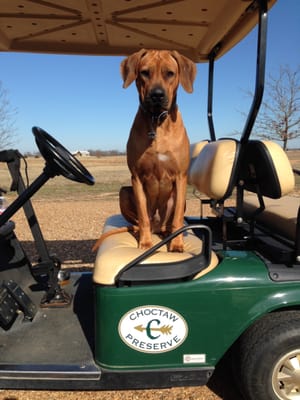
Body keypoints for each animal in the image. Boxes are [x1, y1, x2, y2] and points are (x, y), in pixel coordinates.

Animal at [119, 48, 197, 252]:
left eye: (170, 73)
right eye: (145, 72)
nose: (157, 95)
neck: (157, 121)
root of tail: (158, 227)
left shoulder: (181, 176)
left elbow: (177, 218)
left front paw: (176, 244)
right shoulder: (136, 177)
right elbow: (143, 217)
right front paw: (145, 243)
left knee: (169, 222)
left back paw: (167, 233)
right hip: (124, 192)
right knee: (141, 221)